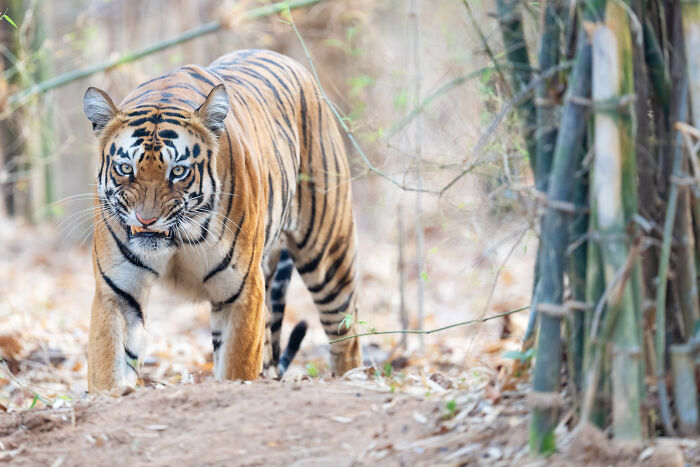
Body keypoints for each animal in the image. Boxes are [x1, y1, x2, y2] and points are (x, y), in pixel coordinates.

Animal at [82, 49, 362, 392]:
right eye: (125, 168)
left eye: (178, 171)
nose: (147, 220)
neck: (178, 240)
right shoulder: (117, 291)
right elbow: (108, 366)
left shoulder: (242, 291)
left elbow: (237, 369)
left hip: (328, 255)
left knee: (346, 333)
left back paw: (353, 378)